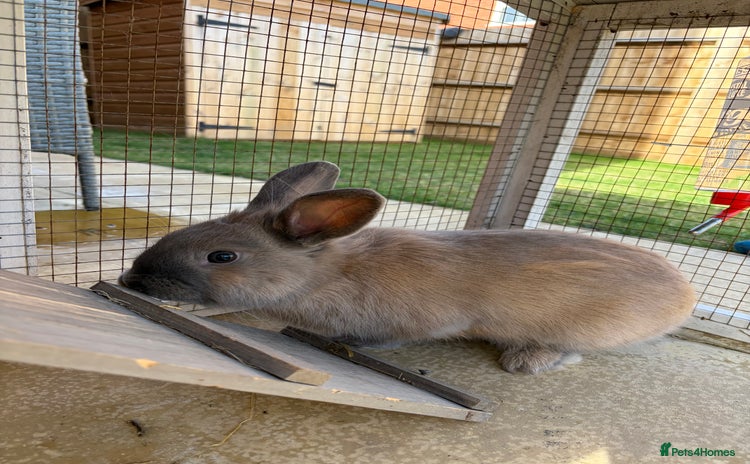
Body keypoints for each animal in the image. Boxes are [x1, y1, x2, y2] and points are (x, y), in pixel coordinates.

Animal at [119, 161, 696, 374]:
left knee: (573, 352)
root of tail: (686, 296)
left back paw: (527, 360)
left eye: (222, 257)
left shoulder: (425, 320)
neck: (325, 275)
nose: (130, 280)